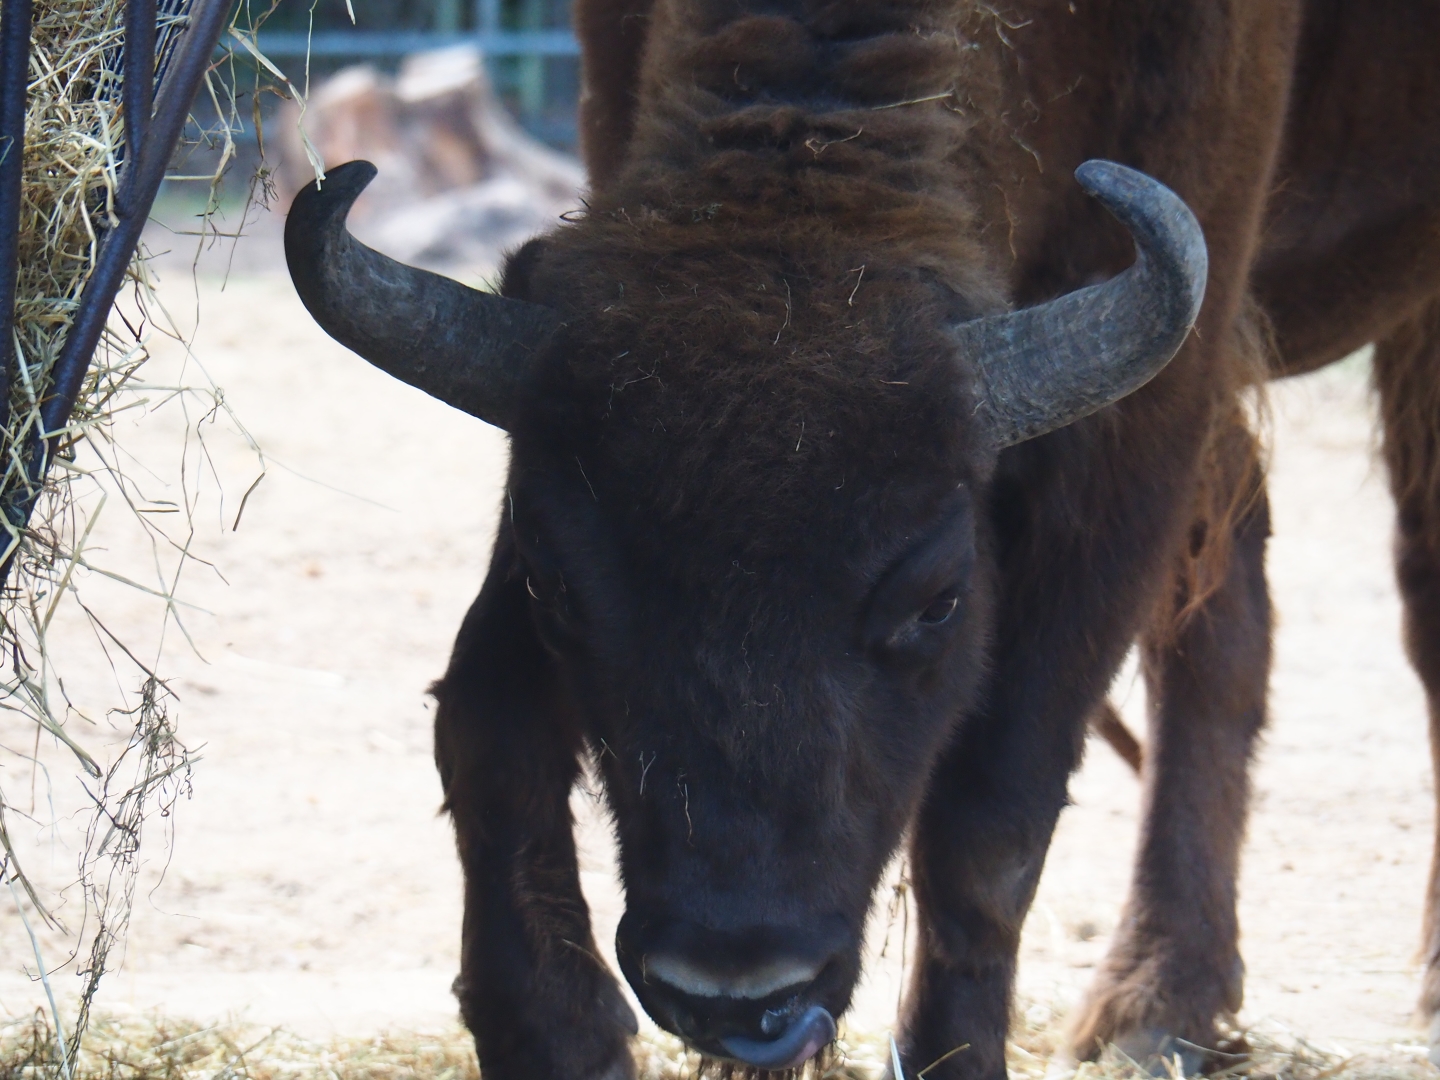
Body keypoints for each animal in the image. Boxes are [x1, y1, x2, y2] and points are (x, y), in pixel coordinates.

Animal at [282, 2, 1440, 1077]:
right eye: (558, 589)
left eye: (939, 599)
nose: (734, 988)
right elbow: (484, 718)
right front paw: (555, 1033)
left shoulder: (1150, 409)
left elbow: (993, 813)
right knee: (1226, 621)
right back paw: (1162, 1007)